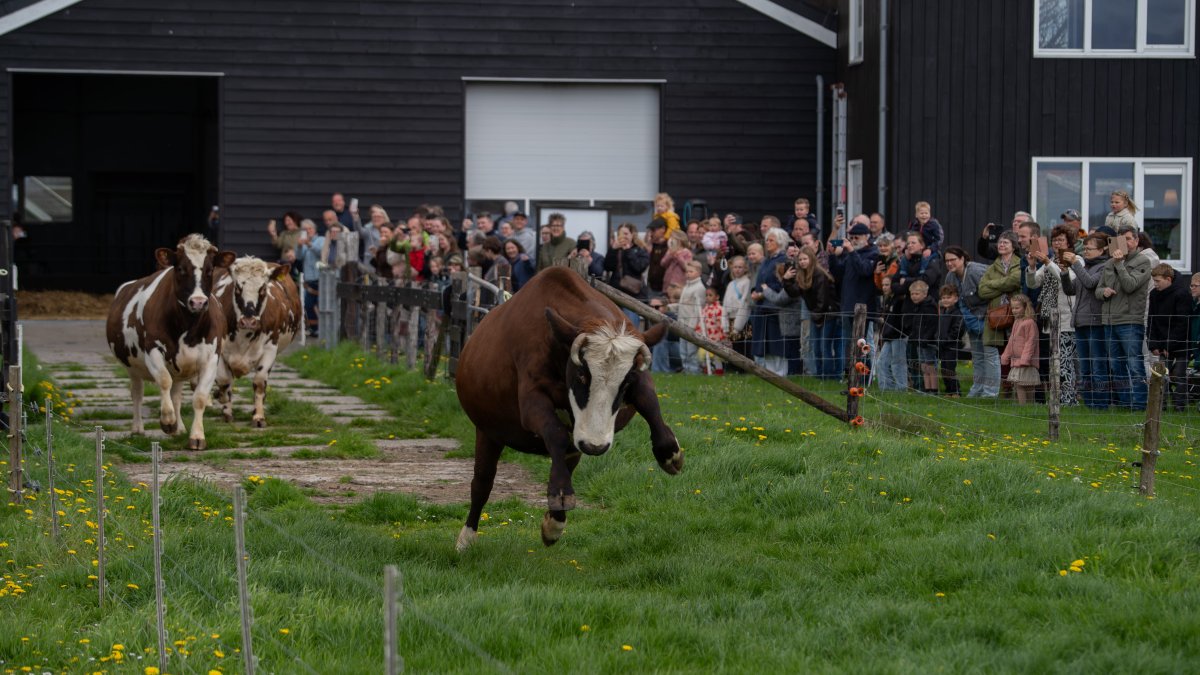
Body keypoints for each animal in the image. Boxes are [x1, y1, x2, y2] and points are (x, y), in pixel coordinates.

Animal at [106, 234, 235, 450]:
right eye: (181, 268)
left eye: (210, 270)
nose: (198, 302)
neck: (188, 326)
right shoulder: (153, 350)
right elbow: (163, 380)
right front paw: (167, 421)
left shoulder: (211, 358)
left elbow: (200, 397)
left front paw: (196, 436)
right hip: (132, 367)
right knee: (137, 393)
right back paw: (138, 428)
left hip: (181, 368)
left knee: (176, 395)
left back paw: (180, 428)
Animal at [211, 256, 302, 427]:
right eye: (237, 288)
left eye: (263, 289)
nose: (249, 321)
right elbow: (224, 380)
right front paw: (225, 410)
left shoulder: (270, 348)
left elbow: (259, 382)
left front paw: (258, 416)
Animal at [454, 267, 683, 551]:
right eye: (582, 375)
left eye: (625, 380)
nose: (594, 445)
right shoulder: (530, 402)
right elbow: (555, 433)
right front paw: (559, 496)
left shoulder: (639, 378)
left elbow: (651, 404)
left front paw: (669, 453)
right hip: (488, 432)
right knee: (482, 482)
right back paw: (467, 537)